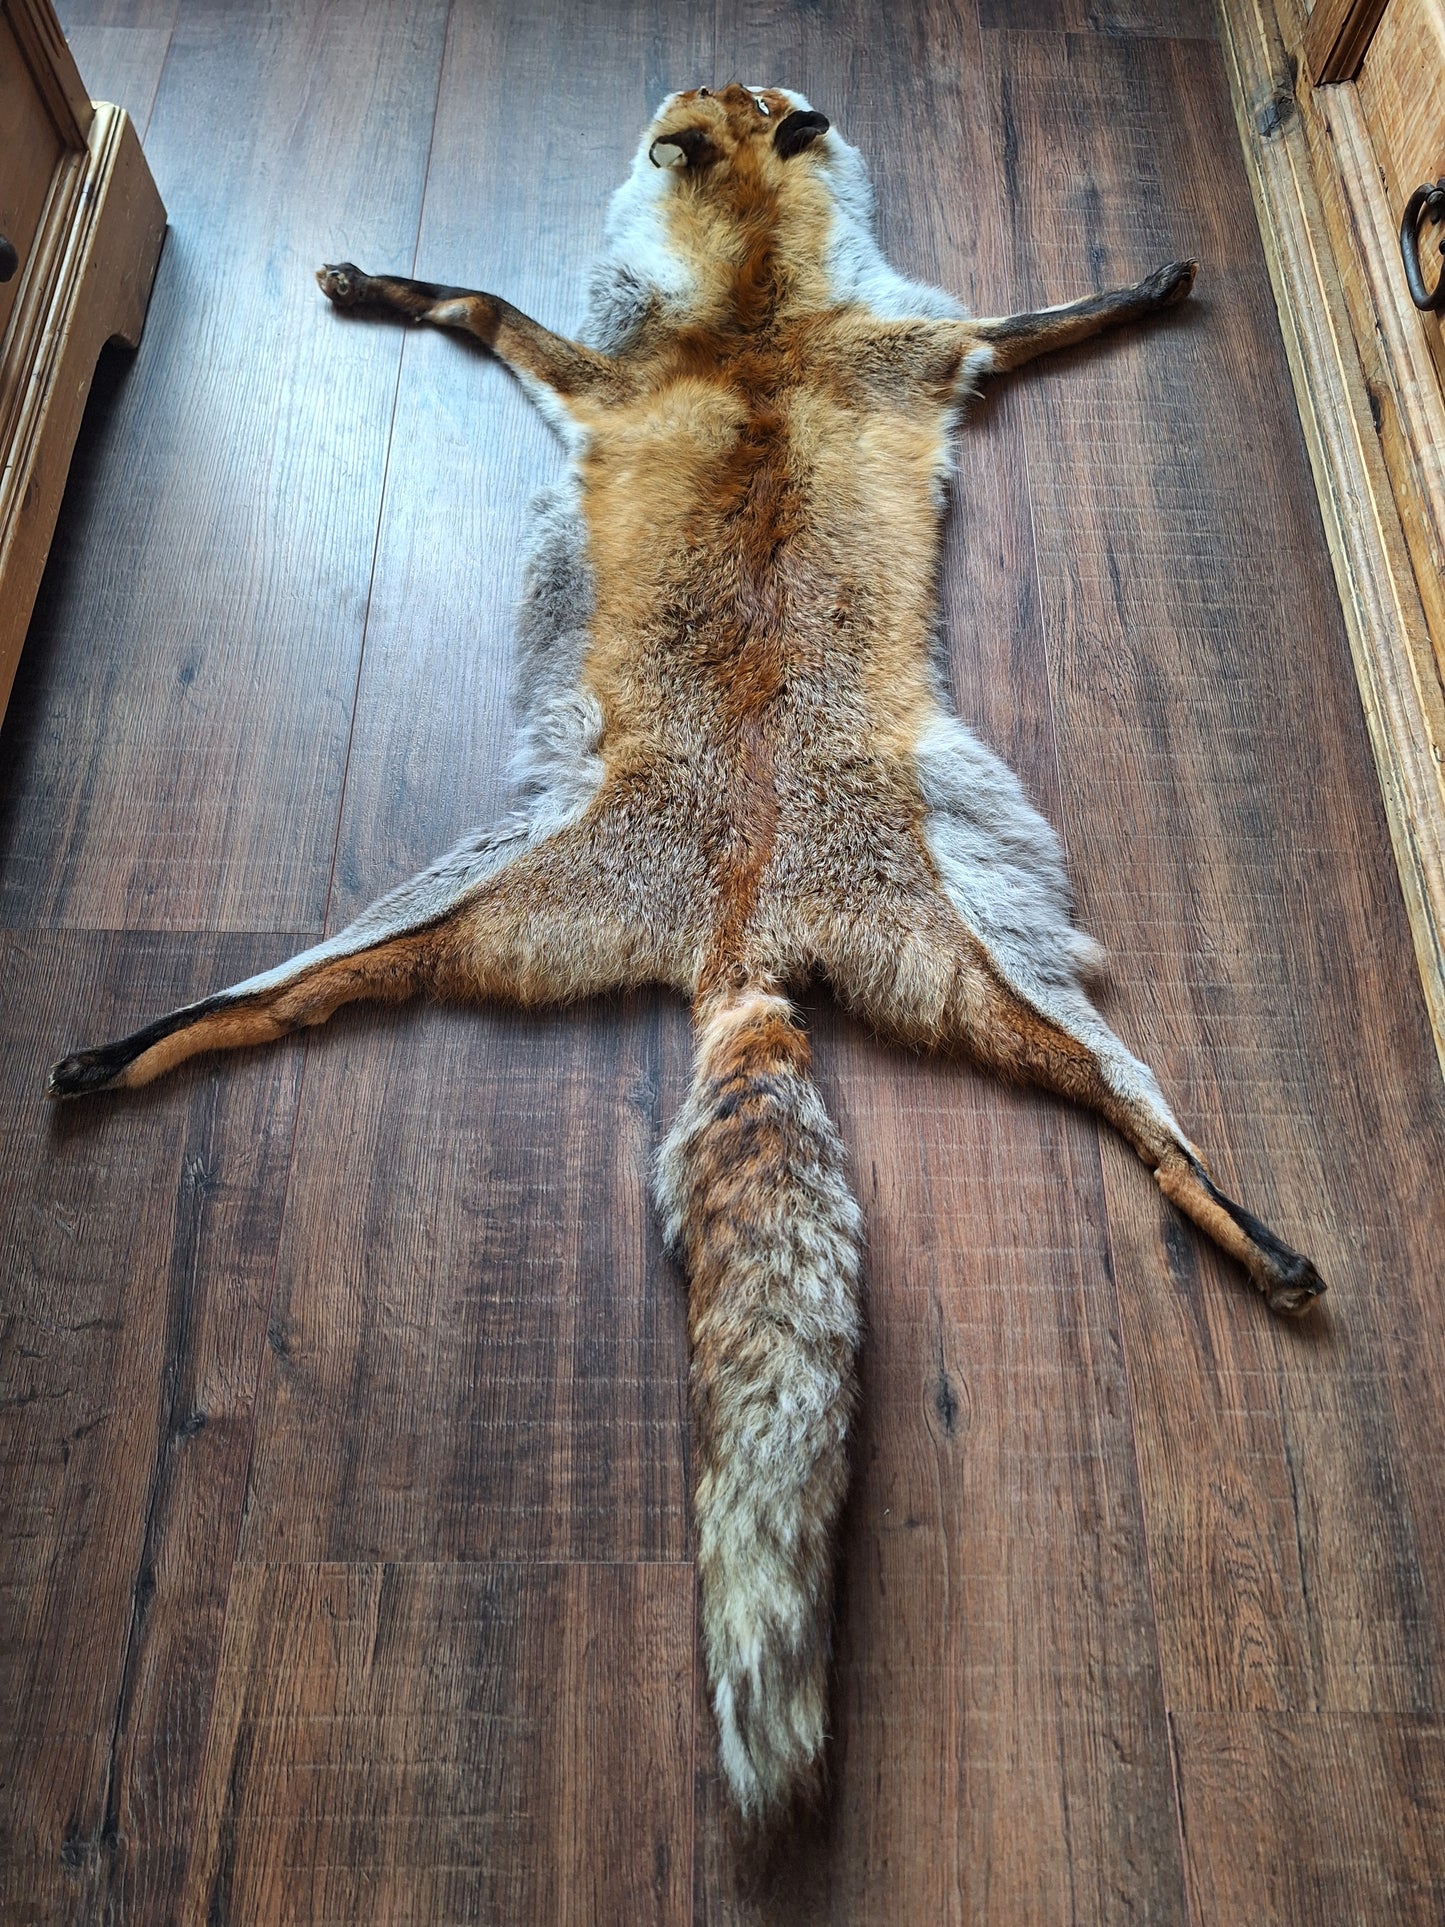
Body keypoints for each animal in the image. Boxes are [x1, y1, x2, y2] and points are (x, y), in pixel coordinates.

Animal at [46, 84, 1325, 1829]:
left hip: (919, 949)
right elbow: (480, 304)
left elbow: (1028, 312)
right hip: (523, 909)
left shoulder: (894, 351)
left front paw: (1142, 284)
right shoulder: (695, 372)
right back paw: (120, 1047)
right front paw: (387, 283)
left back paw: (1256, 1234)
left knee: (1148, 1123)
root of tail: (740, 938)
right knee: (274, 998)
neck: (761, 326)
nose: (693, 97)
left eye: (719, 100)